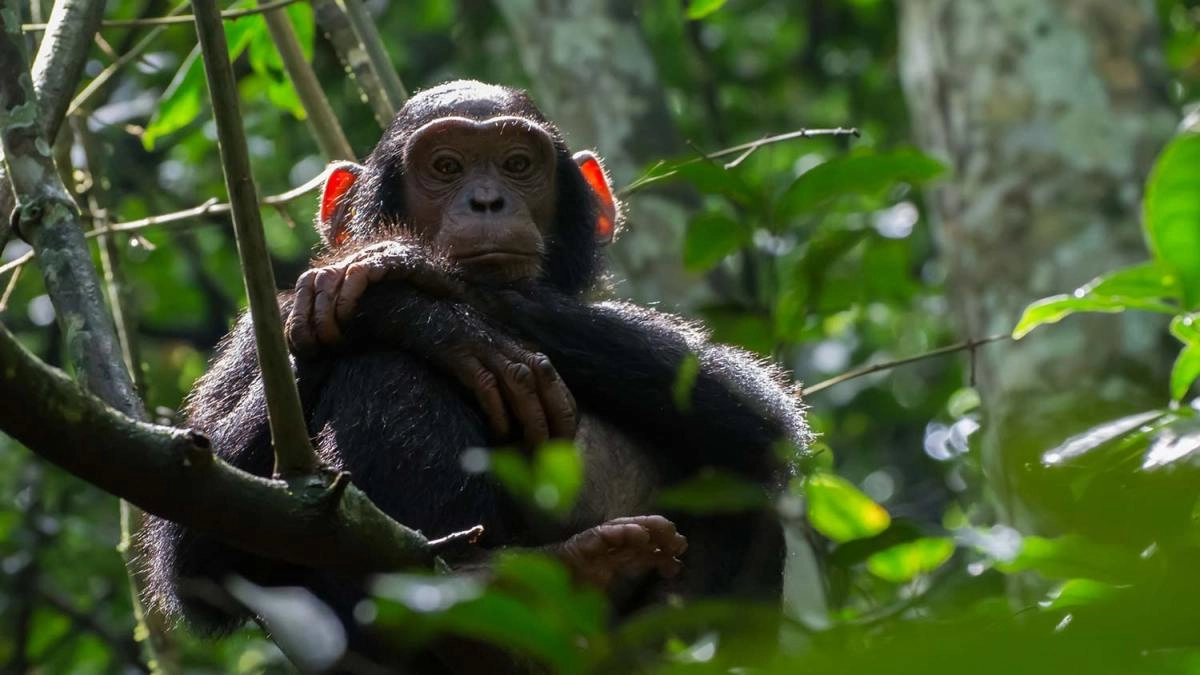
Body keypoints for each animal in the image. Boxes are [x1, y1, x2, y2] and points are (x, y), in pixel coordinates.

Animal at [144, 80, 810, 672]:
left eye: (518, 164)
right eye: (446, 166)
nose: (487, 201)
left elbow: (759, 413)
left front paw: (401, 275)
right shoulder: (252, 338)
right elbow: (197, 545)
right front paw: (425, 316)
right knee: (381, 367)